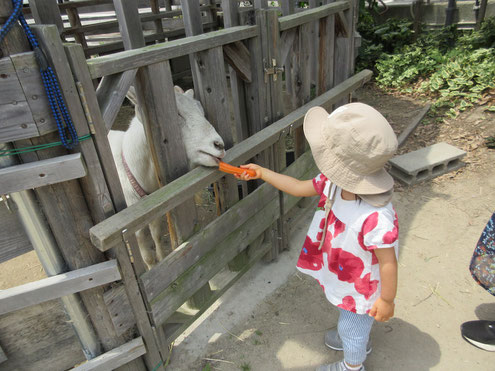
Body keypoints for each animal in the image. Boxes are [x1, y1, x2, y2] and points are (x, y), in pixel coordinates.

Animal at [109, 86, 227, 268]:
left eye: (201, 110)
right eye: (176, 114)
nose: (219, 145)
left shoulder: (154, 213)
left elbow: (157, 234)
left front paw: (161, 256)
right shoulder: (133, 227)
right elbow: (146, 255)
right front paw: (152, 265)